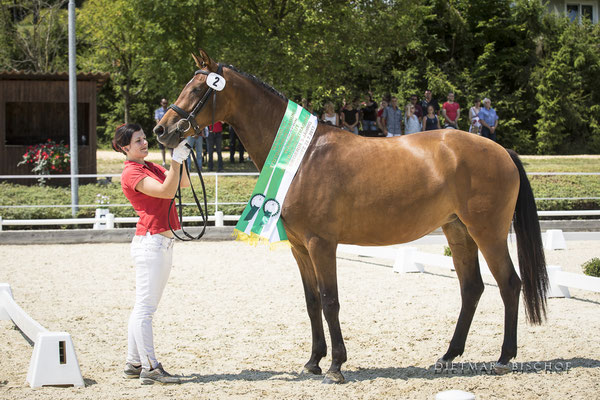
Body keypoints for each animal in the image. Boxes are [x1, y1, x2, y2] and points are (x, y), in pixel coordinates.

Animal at [154, 50, 548, 384]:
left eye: (198, 88)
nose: (162, 130)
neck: (303, 156)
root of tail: (501, 149)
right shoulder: (299, 248)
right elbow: (312, 302)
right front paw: (313, 361)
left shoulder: (321, 244)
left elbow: (331, 301)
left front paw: (336, 366)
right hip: (458, 231)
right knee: (472, 288)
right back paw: (447, 356)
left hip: (487, 232)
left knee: (509, 284)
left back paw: (503, 358)